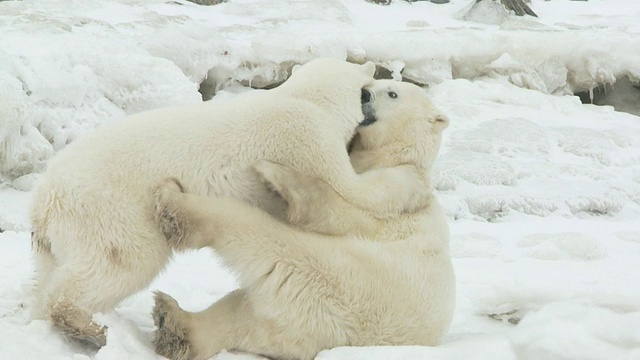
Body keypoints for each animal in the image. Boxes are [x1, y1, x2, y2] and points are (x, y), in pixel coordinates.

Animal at [30, 58, 430, 346]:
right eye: (371, 89)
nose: (375, 76)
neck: (302, 99)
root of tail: (46, 198)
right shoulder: (305, 138)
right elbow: (347, 188)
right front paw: (413, 185)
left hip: (64, 230)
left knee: (51, 270)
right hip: (113, 210)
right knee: (121, 262)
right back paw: (85, 326)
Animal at [150, 79, 456, 360]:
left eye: (392, 93)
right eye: (374, 83)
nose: (364, 94)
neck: (396, 157)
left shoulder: (400, 187)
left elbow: (350, 209)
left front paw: (276, 175)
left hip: (342, 281)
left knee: (266, 239)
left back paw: (176, 204)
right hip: (304, 319)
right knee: (241, 316)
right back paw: (173, 322)